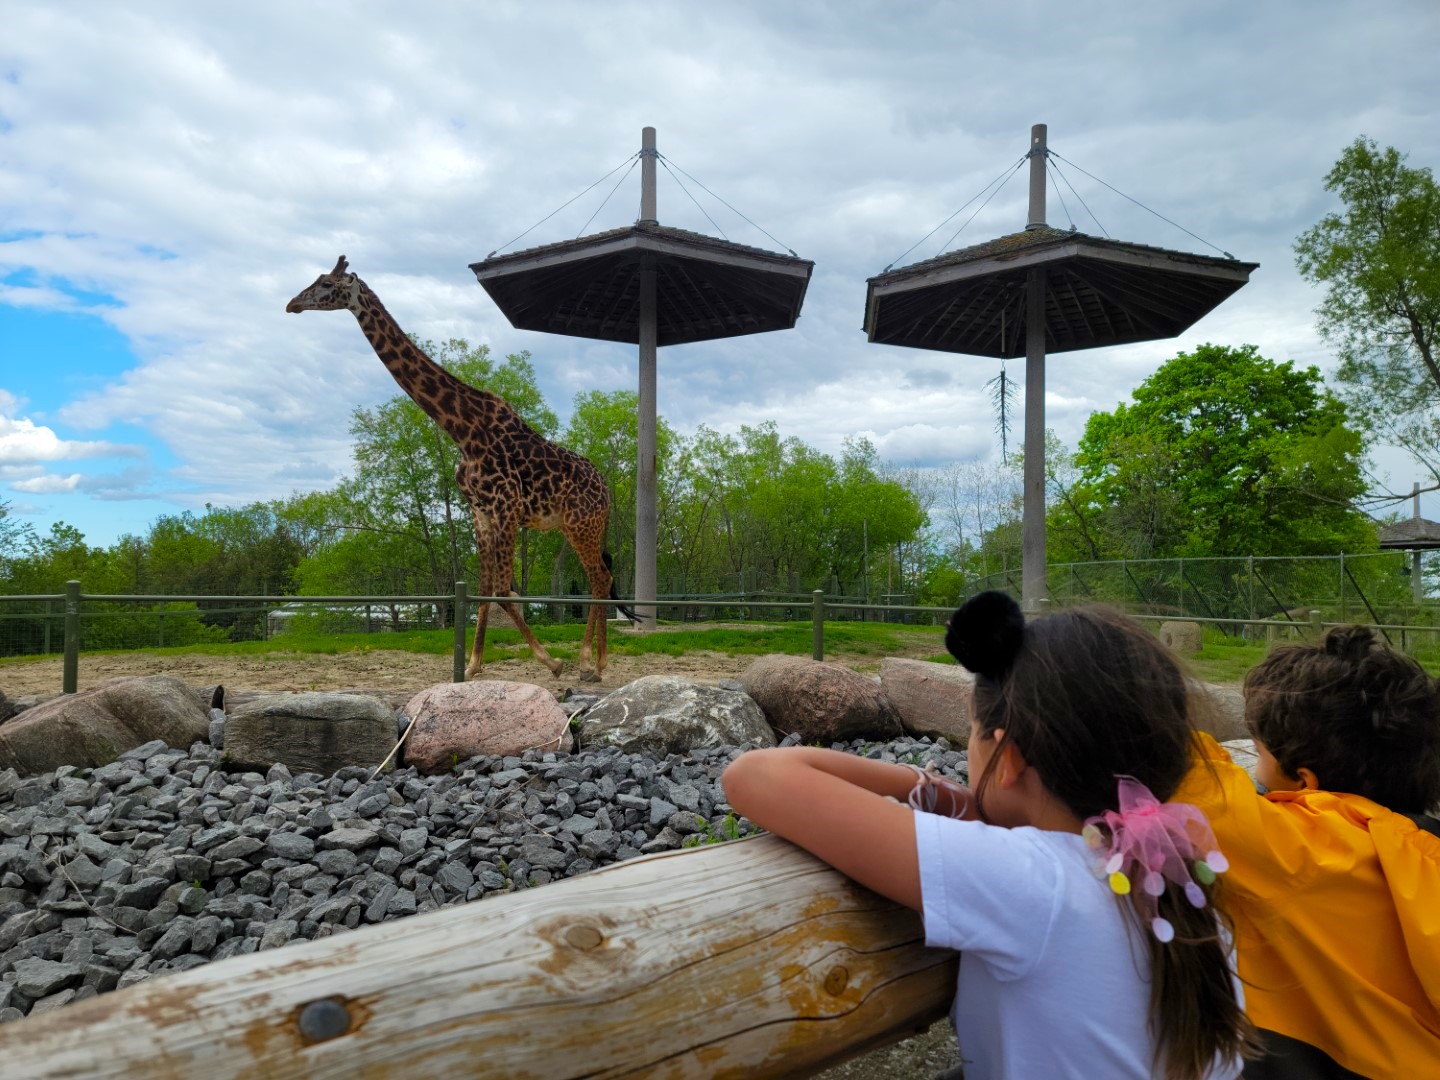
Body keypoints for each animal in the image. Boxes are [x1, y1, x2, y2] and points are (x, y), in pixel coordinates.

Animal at [288, 256, 630, 685]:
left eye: (325, 284)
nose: (291, 304)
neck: (462, 429)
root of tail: (607, 491)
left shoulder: (506, 507)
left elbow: (502, 591)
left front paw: (552, 662)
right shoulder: (481, 512)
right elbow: (482, 591)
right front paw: (471, 665)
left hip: (580, 523)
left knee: (600, 577)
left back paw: (587, 662)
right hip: (580, 525)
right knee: (603, 576)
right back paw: (599, 662)